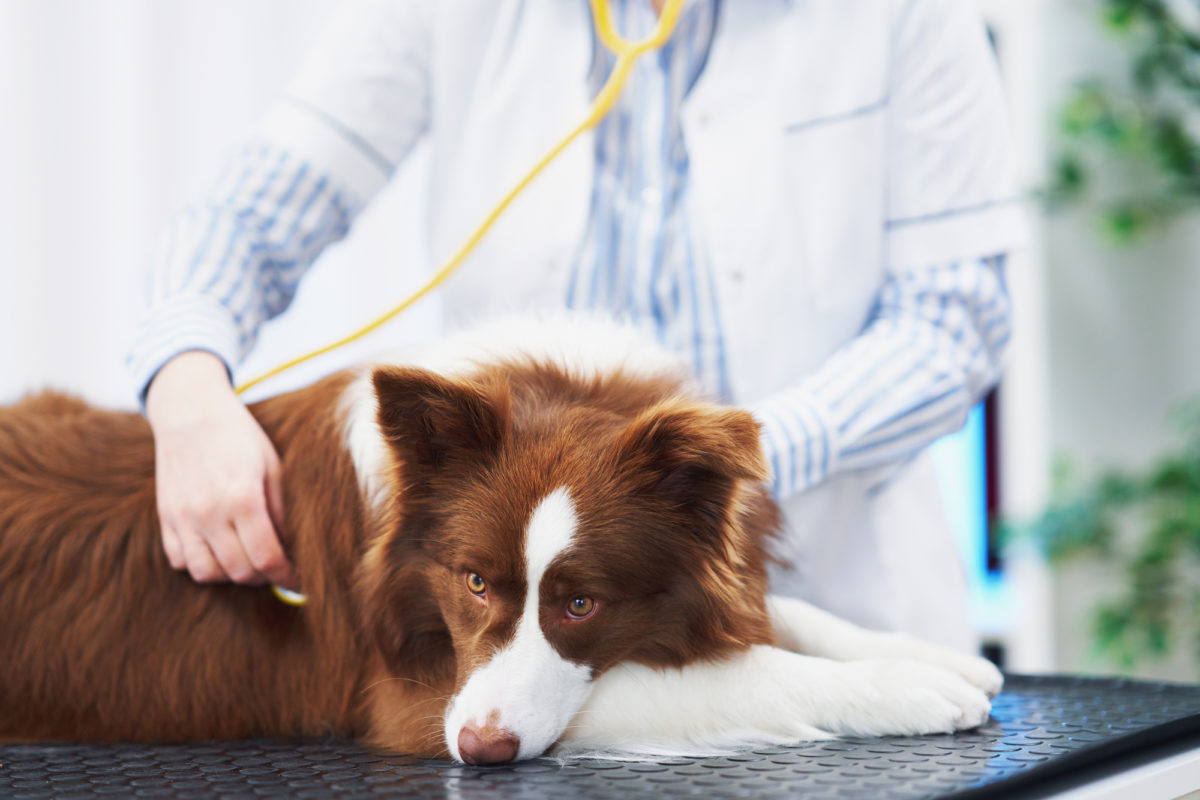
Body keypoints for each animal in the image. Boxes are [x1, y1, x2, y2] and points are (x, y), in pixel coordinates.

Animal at [0, 316, 998, 767]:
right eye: (474, 582)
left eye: (583, 601)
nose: (481, 750)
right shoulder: (412, 696)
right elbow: (737, 672)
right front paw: (906, 685)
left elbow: (779, 615)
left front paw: (927, 653)